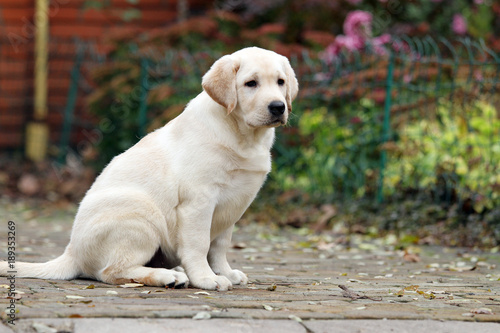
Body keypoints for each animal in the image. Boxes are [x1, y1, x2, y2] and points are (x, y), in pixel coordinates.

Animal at [0, 46, 296, 288]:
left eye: (280, 82)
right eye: (250, 83)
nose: (278, 107)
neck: (243, 136)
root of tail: (72, 252)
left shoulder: (233, 205)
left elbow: (220, 246)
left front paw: (225, 272)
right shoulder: (199, 202)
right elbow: (200, 244)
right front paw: (206, 278)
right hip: (141, 213)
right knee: (111, 271)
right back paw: (168, 277)